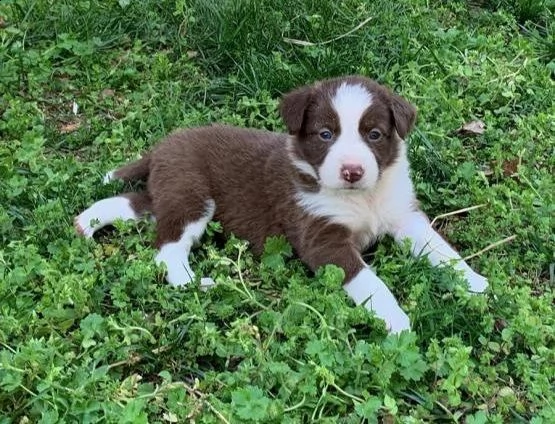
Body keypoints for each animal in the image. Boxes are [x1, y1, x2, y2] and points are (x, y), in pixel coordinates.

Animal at [76, 74, 488, 332]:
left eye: (374, 134)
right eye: (325, 134)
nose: (352, 171)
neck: (361, 198)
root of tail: (162, 146)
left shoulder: (403, 215)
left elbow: (440, 248)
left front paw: (476, 283)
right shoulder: (322, 238)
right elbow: (370, 282)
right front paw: (396, 321)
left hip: (170, 191)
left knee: (135, 205)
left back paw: (85, 222)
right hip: (191, 195)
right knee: (167, 249)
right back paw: (197, 285)